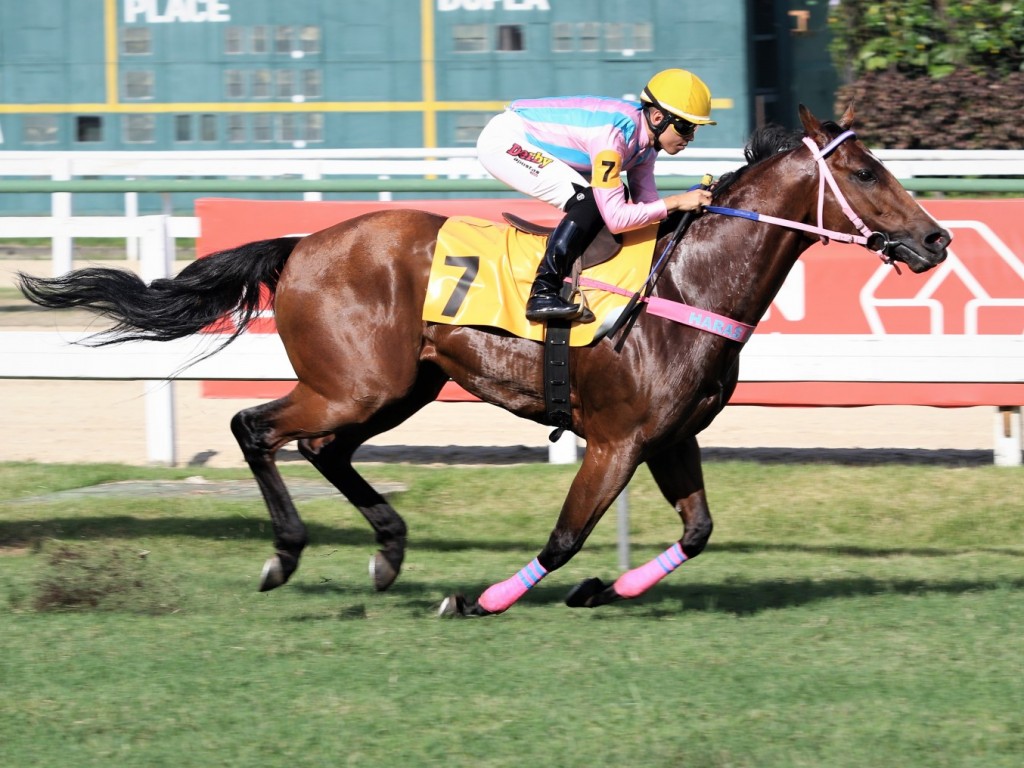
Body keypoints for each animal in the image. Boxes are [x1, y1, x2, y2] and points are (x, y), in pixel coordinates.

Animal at [16, 105, 946, 618]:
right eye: (866, 171)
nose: (936, 239)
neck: (688, 281)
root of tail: (303, 243)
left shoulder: (671, 436)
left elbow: (699, 531)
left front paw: (606, 589)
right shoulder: (616, 439)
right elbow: (566, 536)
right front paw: (479, 599)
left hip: (399, 386)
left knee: (320, 448)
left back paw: (388, 549)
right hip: (357, 383)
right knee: (257, 427)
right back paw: (287, 553)